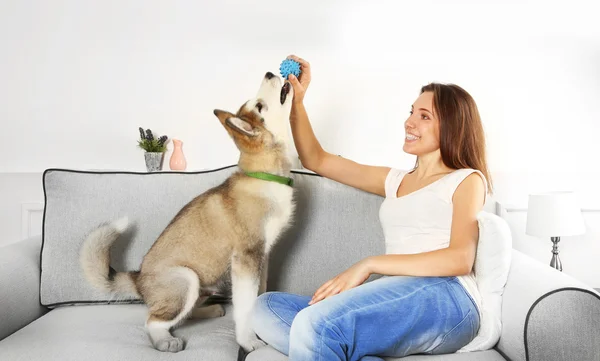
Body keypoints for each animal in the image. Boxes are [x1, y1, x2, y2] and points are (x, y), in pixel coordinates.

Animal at [79, 71, 296, 352]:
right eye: (259, 106)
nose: (269, 73)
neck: (266, 177)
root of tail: (138, 278)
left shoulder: (262, 257)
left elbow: (260, 295)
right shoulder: (246, 259)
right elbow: (246, 307)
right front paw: (249, 341)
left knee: (186, 314)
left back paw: (210, 311)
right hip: (187, 279)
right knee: (154, 320)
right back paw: (165, 341)